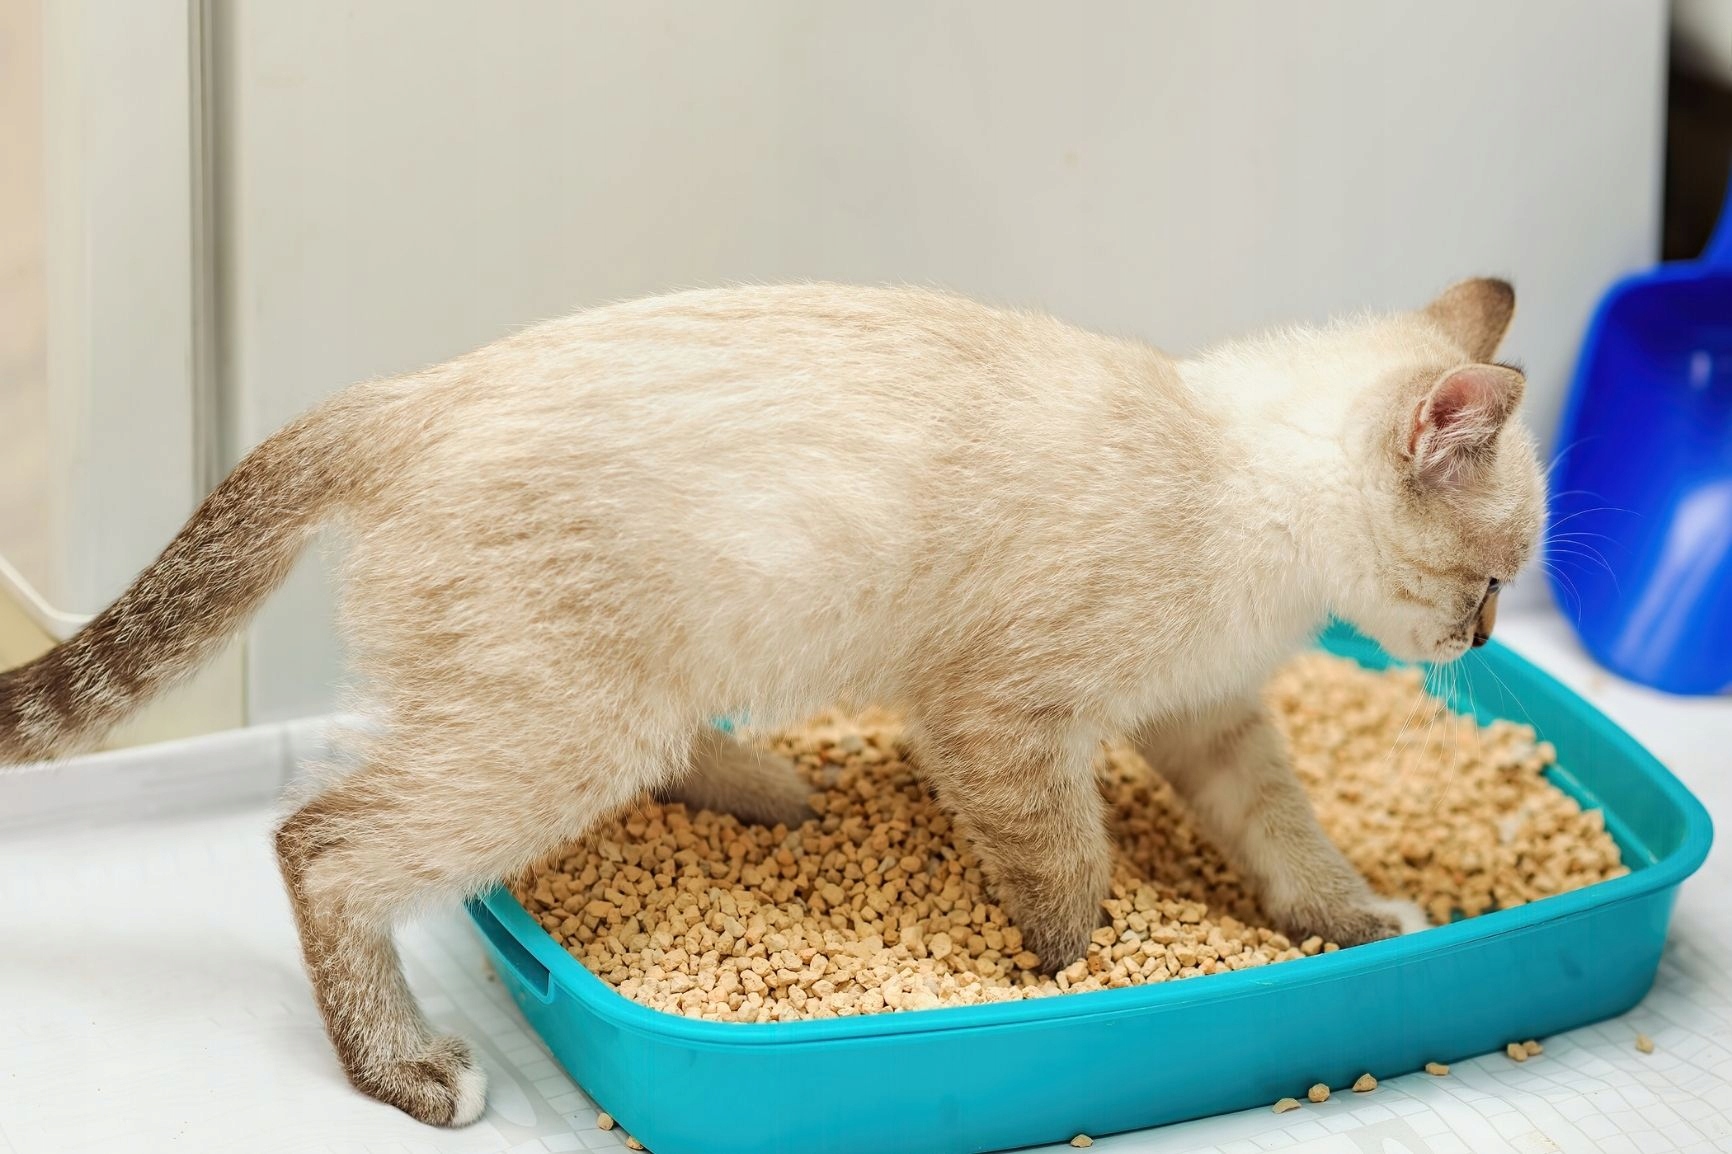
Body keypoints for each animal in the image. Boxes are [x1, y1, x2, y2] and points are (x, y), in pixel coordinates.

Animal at [0, 278, 1541, 1126]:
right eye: (1490, 580)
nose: (1480, 636)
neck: (1241, 491)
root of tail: (399, 395)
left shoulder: (1208, 721)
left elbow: (1291, 846)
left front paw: (1364, 921)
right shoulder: (1004, 720)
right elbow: (1069, 875)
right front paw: (1081, 972)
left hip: (636, 685)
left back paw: (772, 790)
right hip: (560, 731)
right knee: (319, 843)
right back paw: (412, 1069)